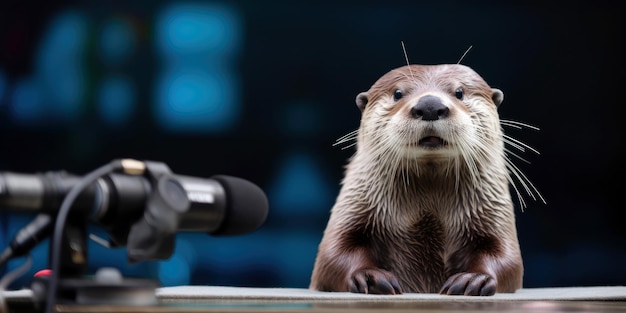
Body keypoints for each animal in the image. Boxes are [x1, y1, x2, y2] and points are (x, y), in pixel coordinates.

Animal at [308, 64, 532, 294]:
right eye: (398, 93)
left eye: (459, 92)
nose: (430, 106)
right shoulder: (354, 204)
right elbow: (333, 254)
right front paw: (369, 276)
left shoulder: (493, 213)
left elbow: (507, 258)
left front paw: (475, 278)